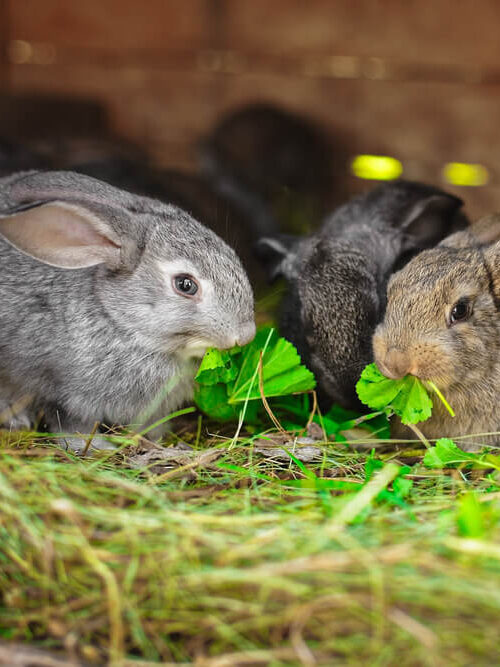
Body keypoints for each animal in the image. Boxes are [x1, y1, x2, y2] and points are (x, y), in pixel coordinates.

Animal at [0, 170, 256, 451]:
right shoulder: (64, 392)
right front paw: (98, 447)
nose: (246, 335)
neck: (120, 323)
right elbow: (70, 425)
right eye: (185, 284)